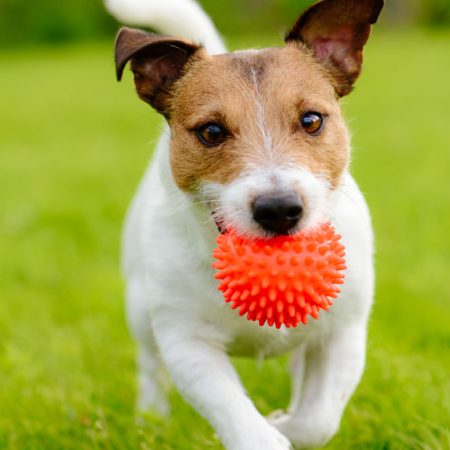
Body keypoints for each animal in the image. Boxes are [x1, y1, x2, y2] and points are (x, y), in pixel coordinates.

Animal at [105, 0, 384, 448]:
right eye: (211, 131)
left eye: (311, 120)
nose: (279, 209)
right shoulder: (187, 343)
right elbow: (240, 418)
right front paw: (269, 431)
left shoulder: (342, 334)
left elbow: (318, 419)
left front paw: (284, 422)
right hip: (139, 306)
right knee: (149, 363)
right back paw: (151, 417)